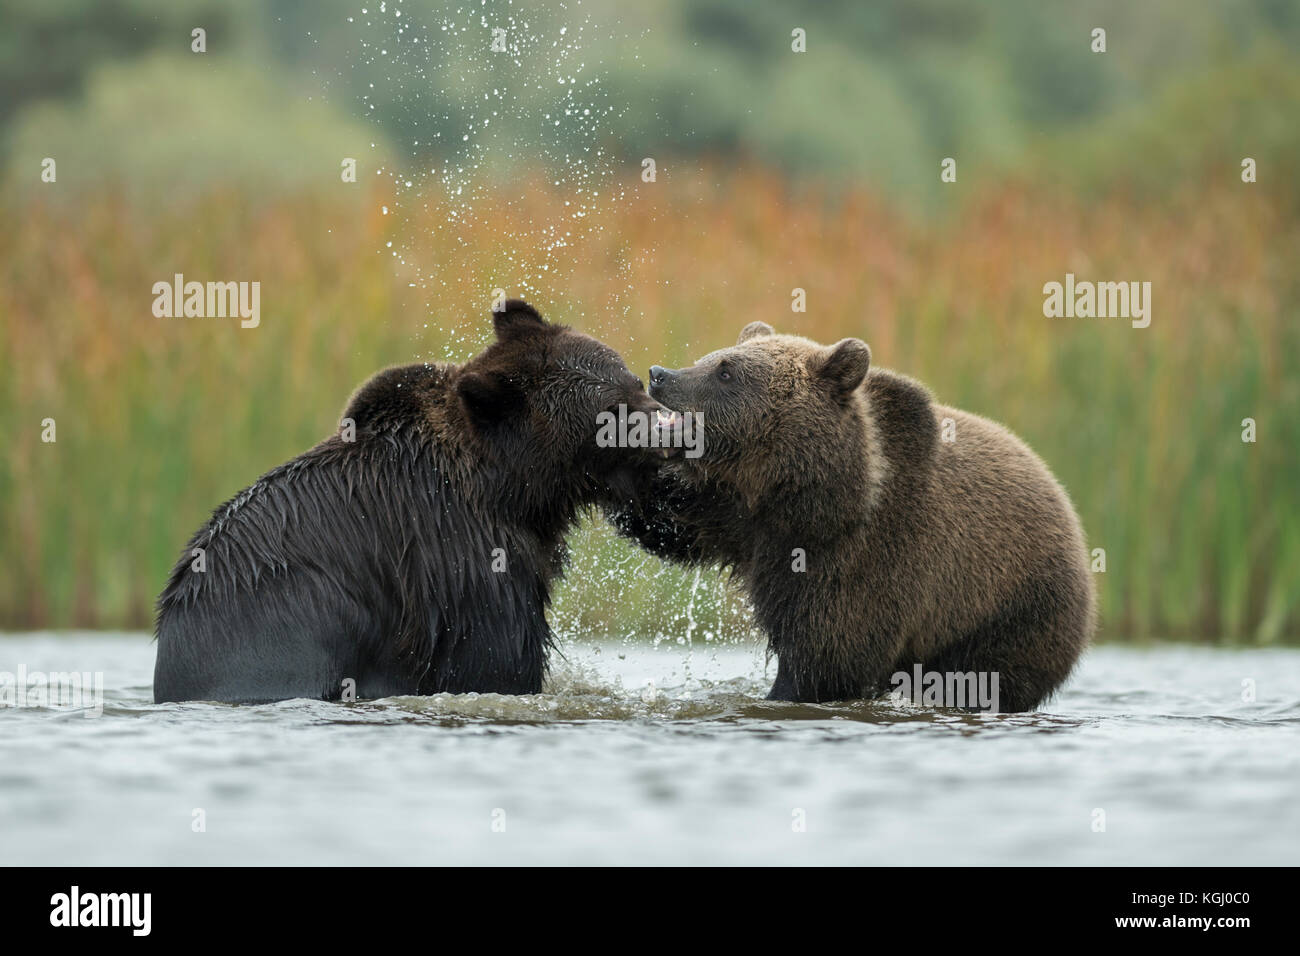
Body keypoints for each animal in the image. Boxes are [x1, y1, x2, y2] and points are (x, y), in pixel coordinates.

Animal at [156, 303, 665, 707]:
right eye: (610, 413)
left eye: (633, 380)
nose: (668, 426)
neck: (517, 490)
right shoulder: (462, 564)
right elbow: (494, 662)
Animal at [611, 321, 1097, 712]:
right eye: (709, 359)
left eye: (726, 371)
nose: (660, 375)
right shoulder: (735, 517)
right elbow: (670, 523)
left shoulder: (865, 557)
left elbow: (830, 655)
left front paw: (782, 693)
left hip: (1008, 611)